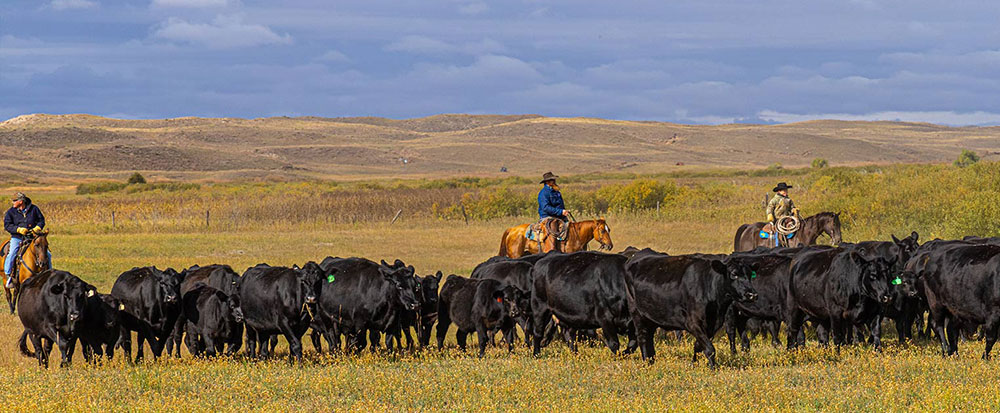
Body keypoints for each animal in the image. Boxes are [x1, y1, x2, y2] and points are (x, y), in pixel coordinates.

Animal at [625, 252, 758, 368]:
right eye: (734, 274)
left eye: (750, 275)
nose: (752, 294)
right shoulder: (693, 322)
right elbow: (710, 349)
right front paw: (713, 369)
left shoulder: (712, 325)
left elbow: (698, 346)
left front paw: (694, 364)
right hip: (637, 313)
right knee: (642, 338)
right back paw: (646, 363)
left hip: (652, 317)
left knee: (649, 339)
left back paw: (651, 361)